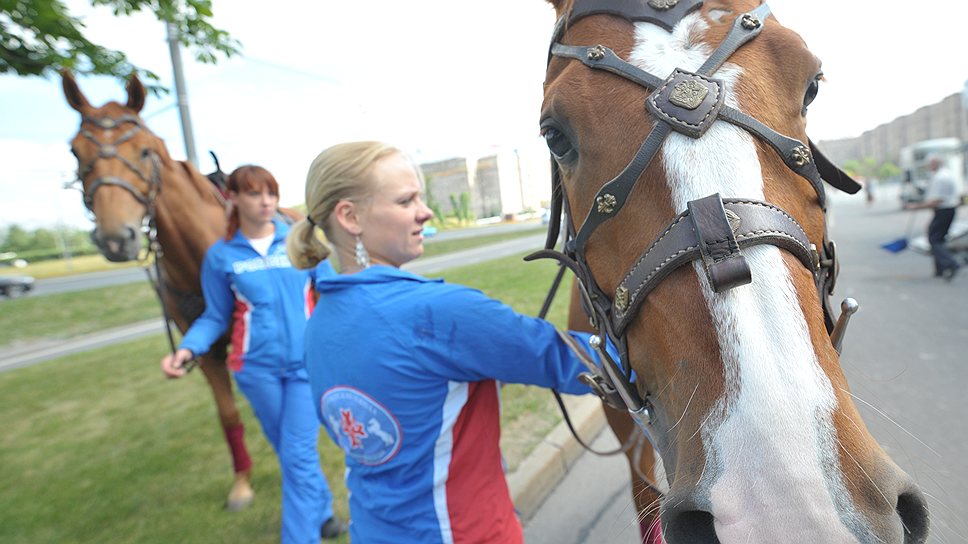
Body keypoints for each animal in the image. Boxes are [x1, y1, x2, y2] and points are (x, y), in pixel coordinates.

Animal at [60, 71, 255, 510]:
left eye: (145, 150)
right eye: (76, 151)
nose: (117, 238)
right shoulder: (206, 354)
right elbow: (229, 414)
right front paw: (242, 483)